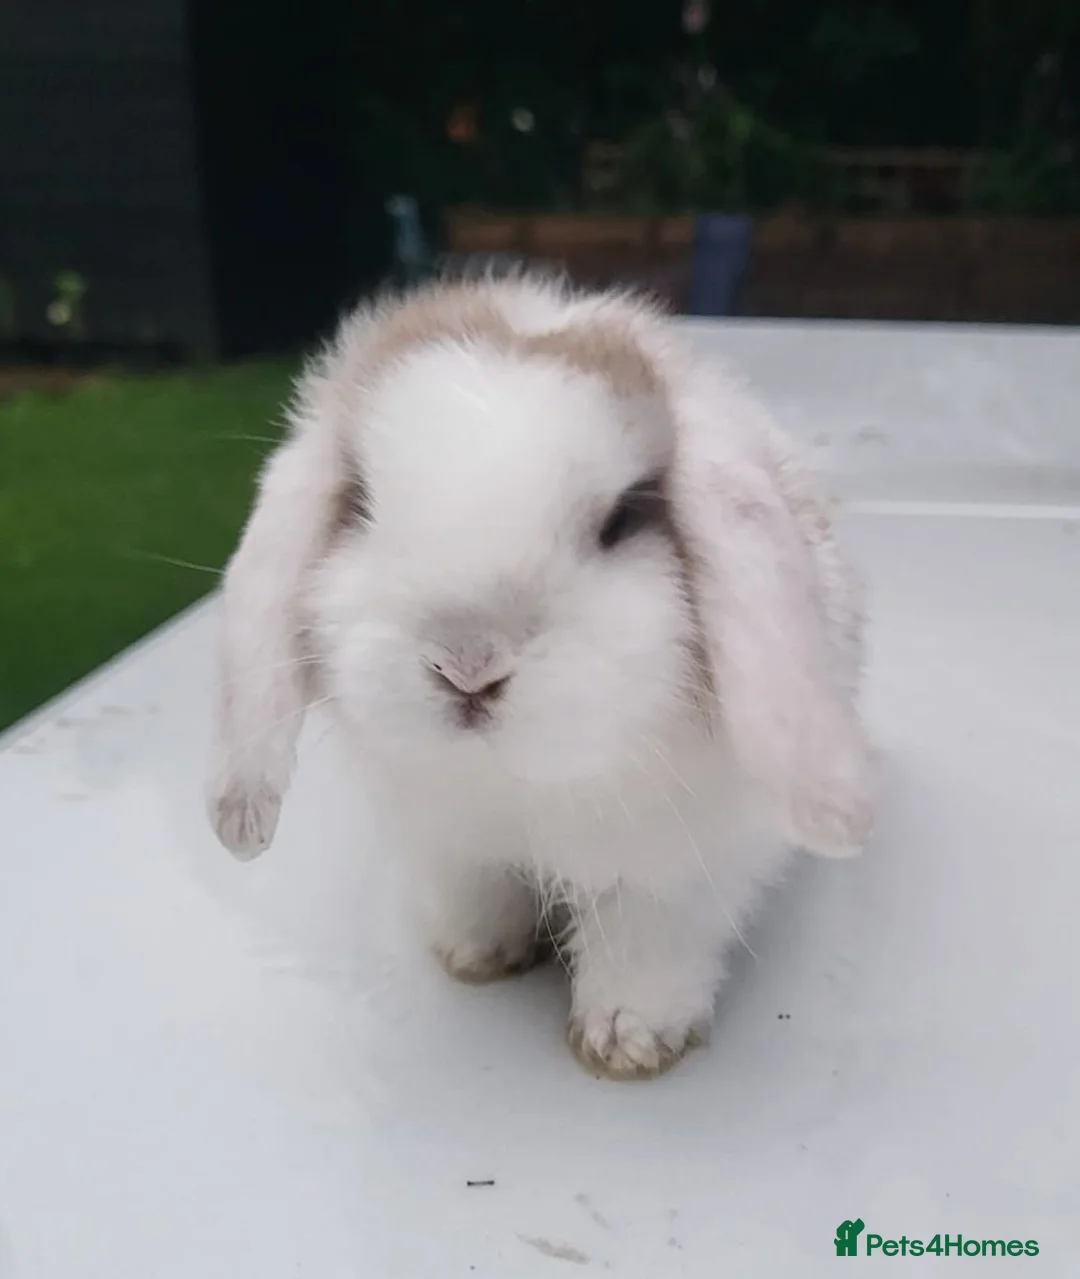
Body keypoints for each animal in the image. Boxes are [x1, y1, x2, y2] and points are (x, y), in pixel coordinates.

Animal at [207, 270, 873, 1080]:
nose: (466, 665)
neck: (517, 787)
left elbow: (644, 952)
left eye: (621, 520)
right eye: (360, 503)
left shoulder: (671, 876)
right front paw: (476, 958)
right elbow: (480, 898)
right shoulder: (454, 847)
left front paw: (625, 1044)